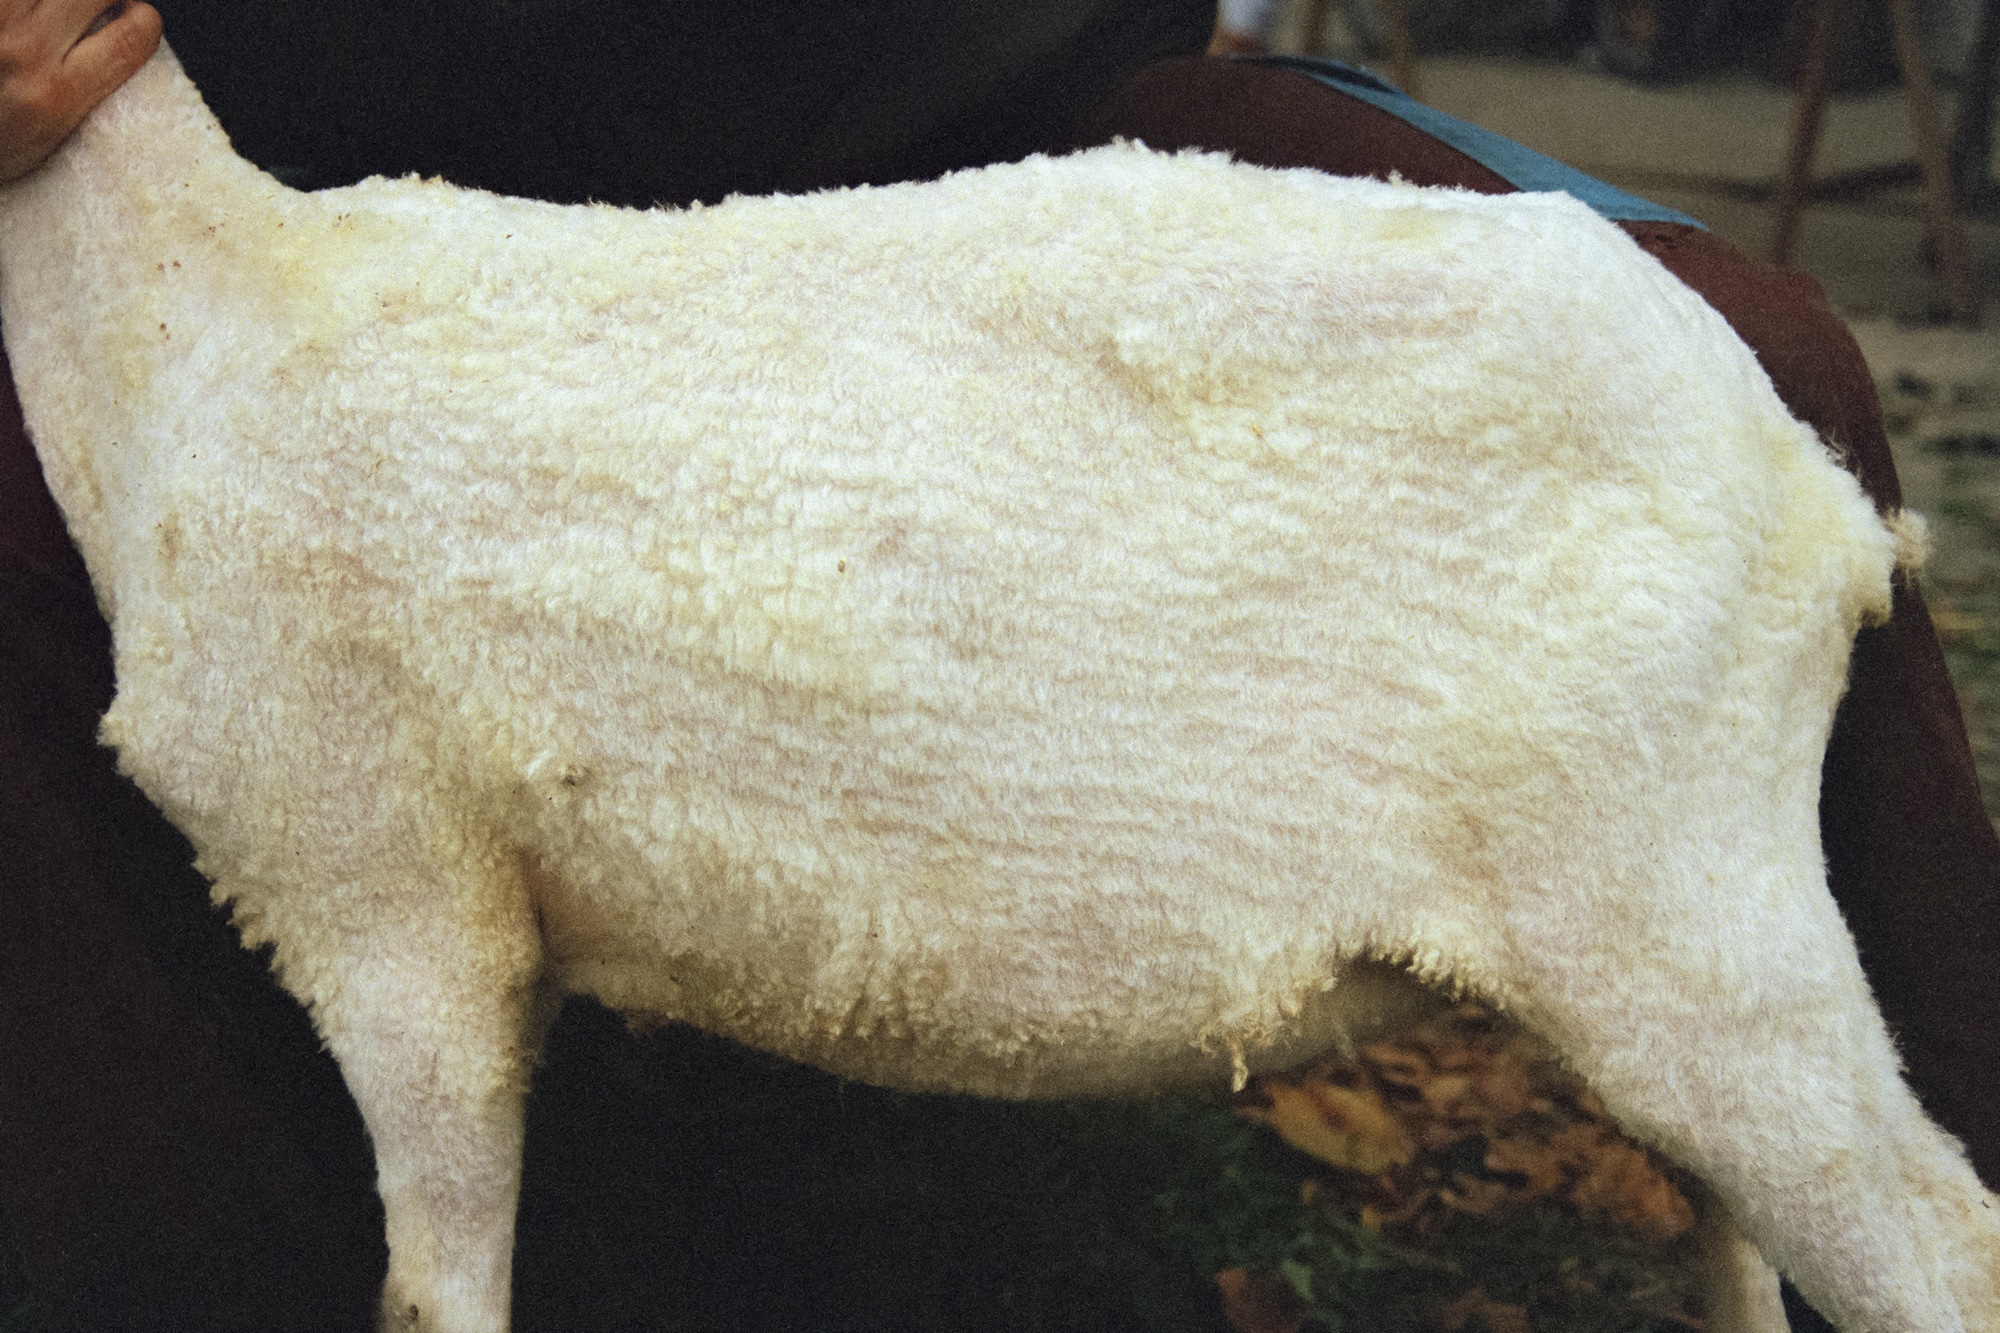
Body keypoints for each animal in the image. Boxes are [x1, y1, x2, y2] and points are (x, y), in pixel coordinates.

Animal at [2, 42, 1994, 1333]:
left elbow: (436, 1286)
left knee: (1941, 1252)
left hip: (1686, 907)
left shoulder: (392, 898)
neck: (194, 315)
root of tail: (1820, 496)